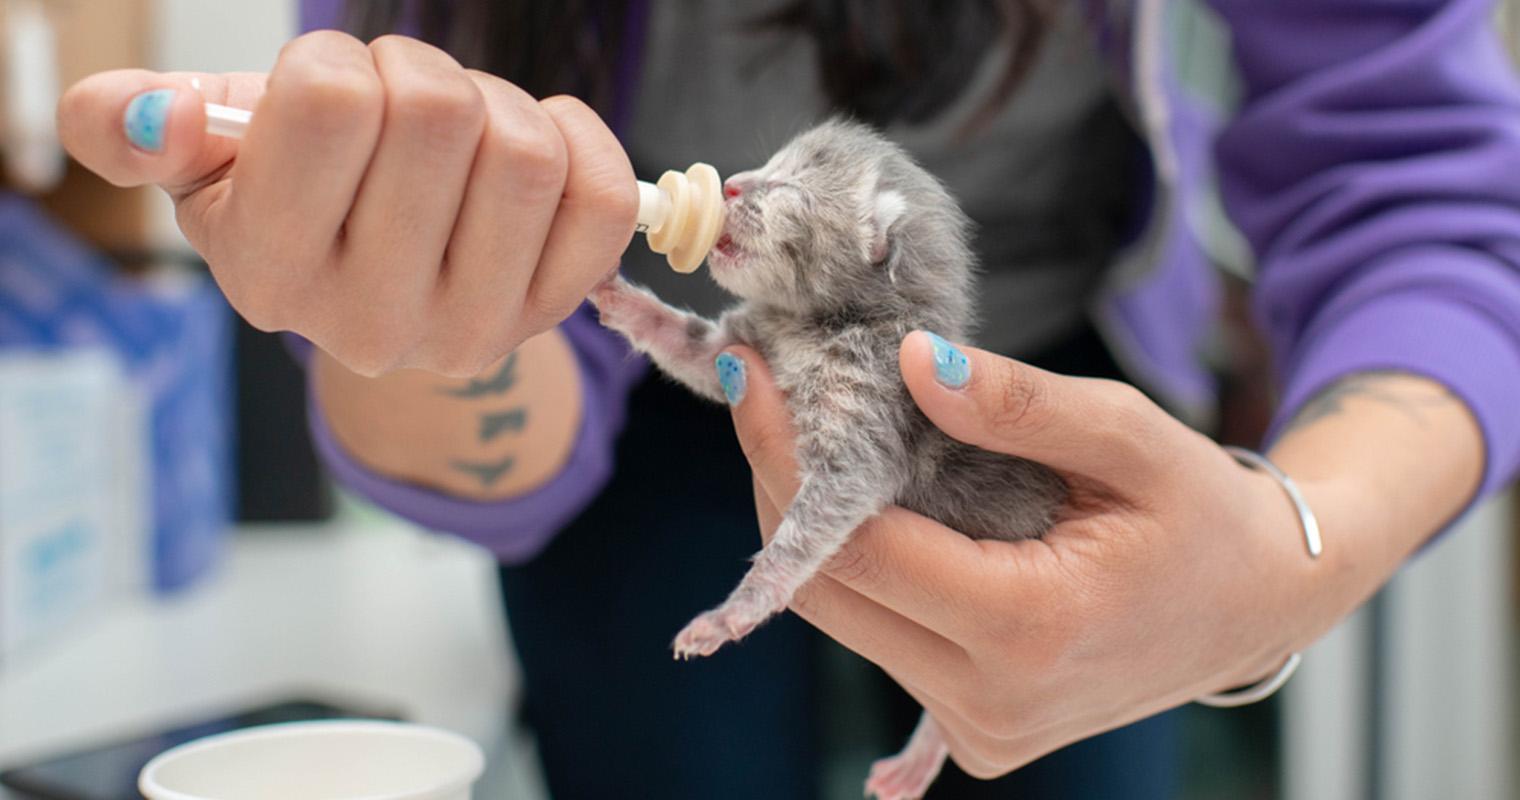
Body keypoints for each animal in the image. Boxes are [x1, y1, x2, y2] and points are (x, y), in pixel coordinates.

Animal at [586, 119, 1064, 800]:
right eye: (767, 165)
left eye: (787, 188)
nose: (732, 185)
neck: (817, 326)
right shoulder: (742, 348)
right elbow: (683, 344)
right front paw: (613, 288)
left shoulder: (866, 423)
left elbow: (812, 523)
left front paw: (737, 610)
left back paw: (925, 749)